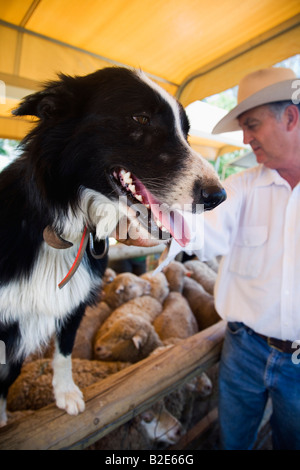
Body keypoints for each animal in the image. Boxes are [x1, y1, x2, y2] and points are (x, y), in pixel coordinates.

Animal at [0, 67, 225, 426]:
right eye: (140, 118)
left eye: (186, 131)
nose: (218, 196)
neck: (63, 226)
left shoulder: (73, 304)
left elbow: (63, 351)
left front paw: (66, 394)